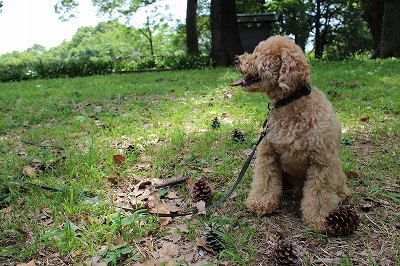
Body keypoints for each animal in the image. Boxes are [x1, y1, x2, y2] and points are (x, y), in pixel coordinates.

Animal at [231, 35, 350, 231]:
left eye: (256, 56)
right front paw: (260, 204)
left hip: (336, 168)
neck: (290, 101)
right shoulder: (268, 154)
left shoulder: (321, 162)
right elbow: (265, 181)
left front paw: (318, 218)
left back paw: (340, 195)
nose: (236, 60)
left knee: (340, 186)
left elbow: (319, 193)